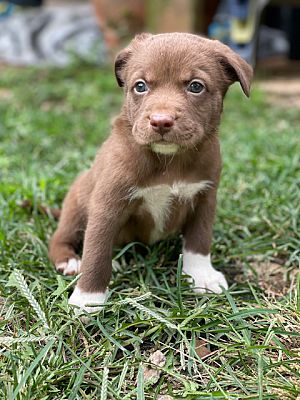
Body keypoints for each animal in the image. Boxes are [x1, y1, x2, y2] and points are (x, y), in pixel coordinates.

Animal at [49, 32, 253, 312]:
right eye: (140, 86)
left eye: (196, 86)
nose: (161, 121)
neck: (169, 161)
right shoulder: (107, 204)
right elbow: (97, 252)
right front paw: (87, 298)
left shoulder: (205, 196)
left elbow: (199, 239)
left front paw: (202, 275)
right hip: (77, 203)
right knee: (61, 237)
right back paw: (71, 261)